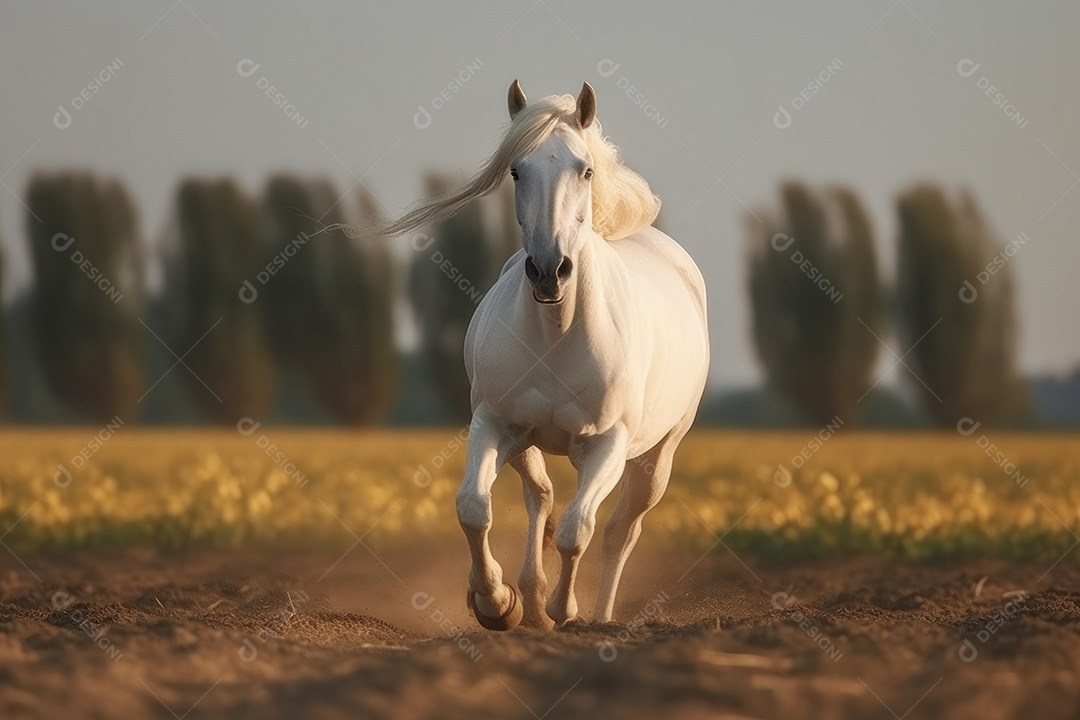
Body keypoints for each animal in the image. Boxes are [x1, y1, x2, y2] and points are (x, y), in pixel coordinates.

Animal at [379, 80, 709, 629]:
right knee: (541, 498)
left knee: (620, 531)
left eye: (585, 169)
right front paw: (496, 603)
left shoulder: (607, 445)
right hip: (528, 442)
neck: (558, 334)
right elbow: (474, 507)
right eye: (517, 170)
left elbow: (579, 530)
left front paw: (563, 610)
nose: (549, 271)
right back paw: (529, 602)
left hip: (658, 454)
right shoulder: (496, 423)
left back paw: (596, 616)